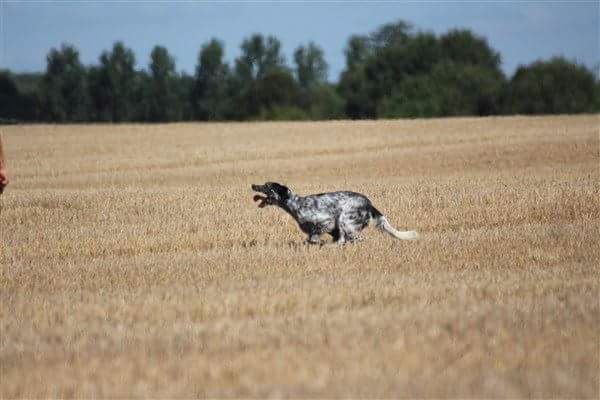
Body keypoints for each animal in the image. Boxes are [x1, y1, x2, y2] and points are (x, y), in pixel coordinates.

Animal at [252, 182, 418, 244]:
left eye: (267, 186)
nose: (253, 185)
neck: (296, 204)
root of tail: (369, 204)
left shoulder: (326, 222)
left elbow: (315, 238)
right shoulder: (332, 230)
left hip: (345, 220)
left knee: (351, 239)